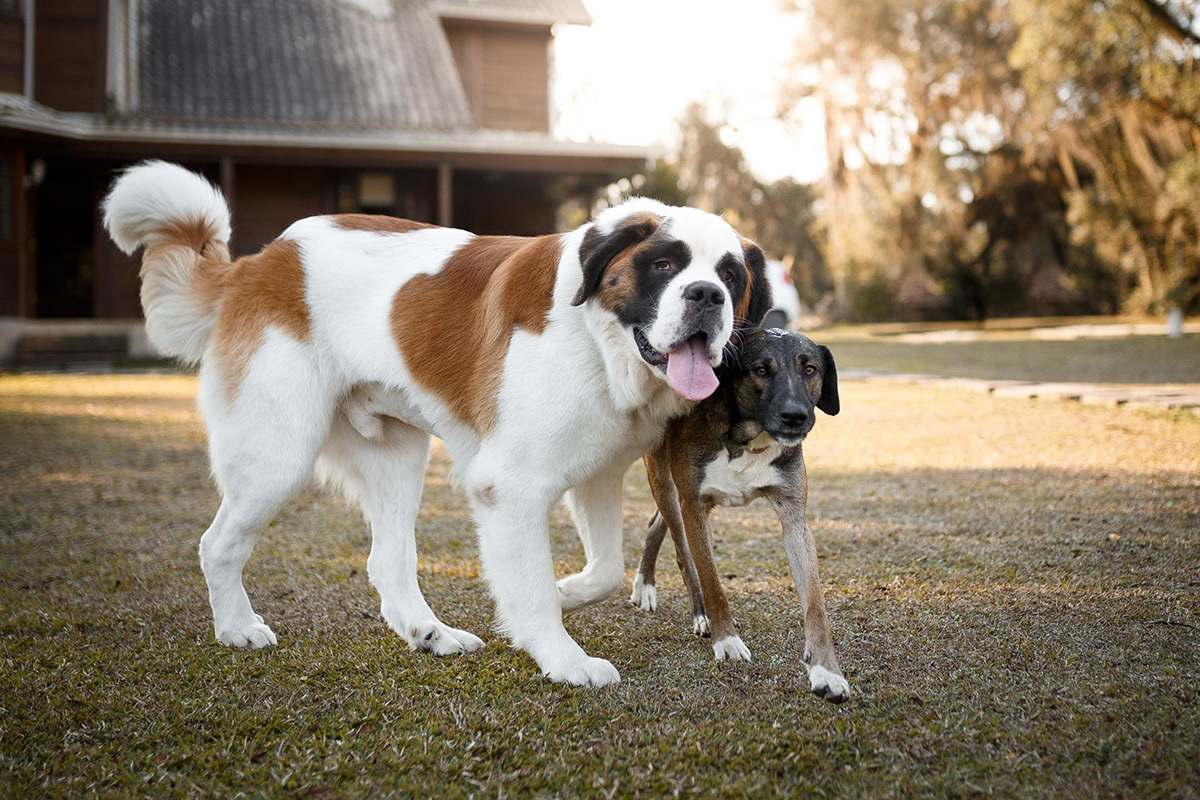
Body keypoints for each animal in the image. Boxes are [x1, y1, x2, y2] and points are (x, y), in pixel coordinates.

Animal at [98, 160, 763, 690]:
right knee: (220, 544)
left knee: (387, 562)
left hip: (396, 455)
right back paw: (238, 627)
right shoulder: (509, 486)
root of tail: (259, 263)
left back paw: (429, 632)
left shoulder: (598, 474)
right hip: (277, 454)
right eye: (664, 264)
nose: (706, 295)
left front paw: (565, 594)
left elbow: (604, 571)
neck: (598, 337)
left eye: (731, 277)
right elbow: (535, 582)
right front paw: (564, 657)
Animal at [633, 328, 849, 705]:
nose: (796, 416)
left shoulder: (794, 518)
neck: (748, 440)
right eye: (760, 370)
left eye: (810, 370)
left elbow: (816, 605)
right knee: (681, 549)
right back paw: (690, 608)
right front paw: (727, 641)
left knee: (656, 523)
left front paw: (827, 671)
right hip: (666, 483)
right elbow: (711, 580)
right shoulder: (695, 506)